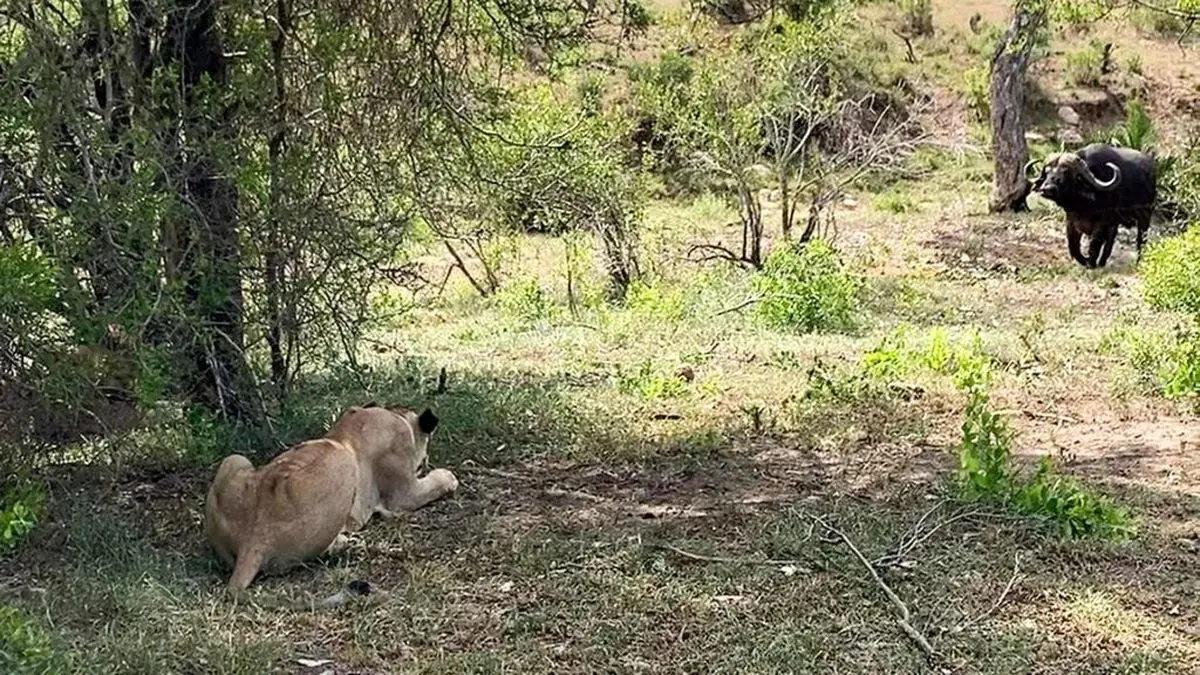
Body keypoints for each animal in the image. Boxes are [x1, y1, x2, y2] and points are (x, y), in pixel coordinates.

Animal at [203, 403, 459, 601]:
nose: (424, 462)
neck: (395, 414)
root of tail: (253, 540)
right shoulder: (403, 494)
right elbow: (435, 482)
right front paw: (449, 477)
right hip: (342, 460)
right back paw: (346, 544)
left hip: (234, 459)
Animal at [1025, 143, 1157, 269]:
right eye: (1047, 172)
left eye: (1065, 172)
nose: (1046, 189)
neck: (1083, 206)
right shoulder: (1071, 222)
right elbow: (1073, 247)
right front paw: (1085, 261)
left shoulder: (1101, 224)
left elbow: (1094, 245)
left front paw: (1091, 263)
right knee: (1111, 241)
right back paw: (1102, 262)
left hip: (1145, 216)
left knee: (1141, 239)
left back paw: (1138, 261)